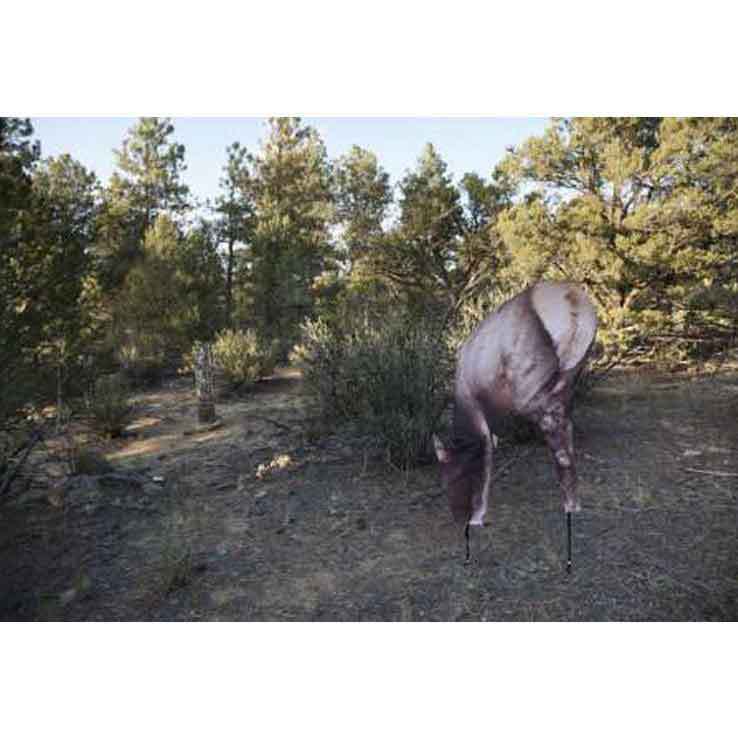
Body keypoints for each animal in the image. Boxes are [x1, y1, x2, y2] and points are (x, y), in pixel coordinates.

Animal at [433, 281, 598, 571]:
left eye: (448, 478)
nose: (457, 516)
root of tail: (576, 304)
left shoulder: (478, 416)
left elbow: (485, 463)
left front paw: (478, 516)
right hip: (573, 375)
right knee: (568, 429)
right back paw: (573, 504)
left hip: (532, 388)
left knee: (559, 439)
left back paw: (569, 505)